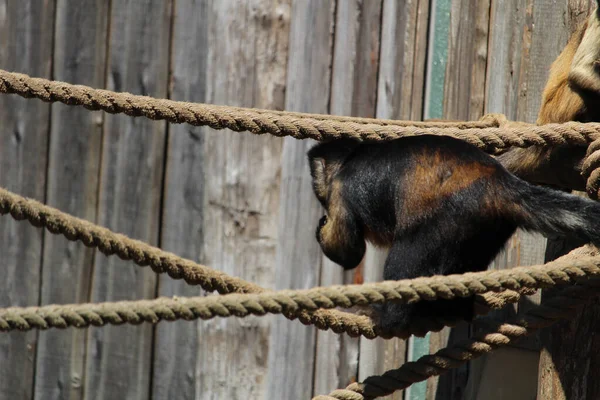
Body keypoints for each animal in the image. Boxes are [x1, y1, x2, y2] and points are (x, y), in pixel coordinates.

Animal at [308, 136, 600, 330]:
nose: (316, 187)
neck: (349, 160)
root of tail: (497, 182)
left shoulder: (340, 188)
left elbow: (349, 252)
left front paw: (322, 228)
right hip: (488, 225)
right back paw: (454, 310)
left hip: (450, 214)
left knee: (406, 256)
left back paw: (390, 318)